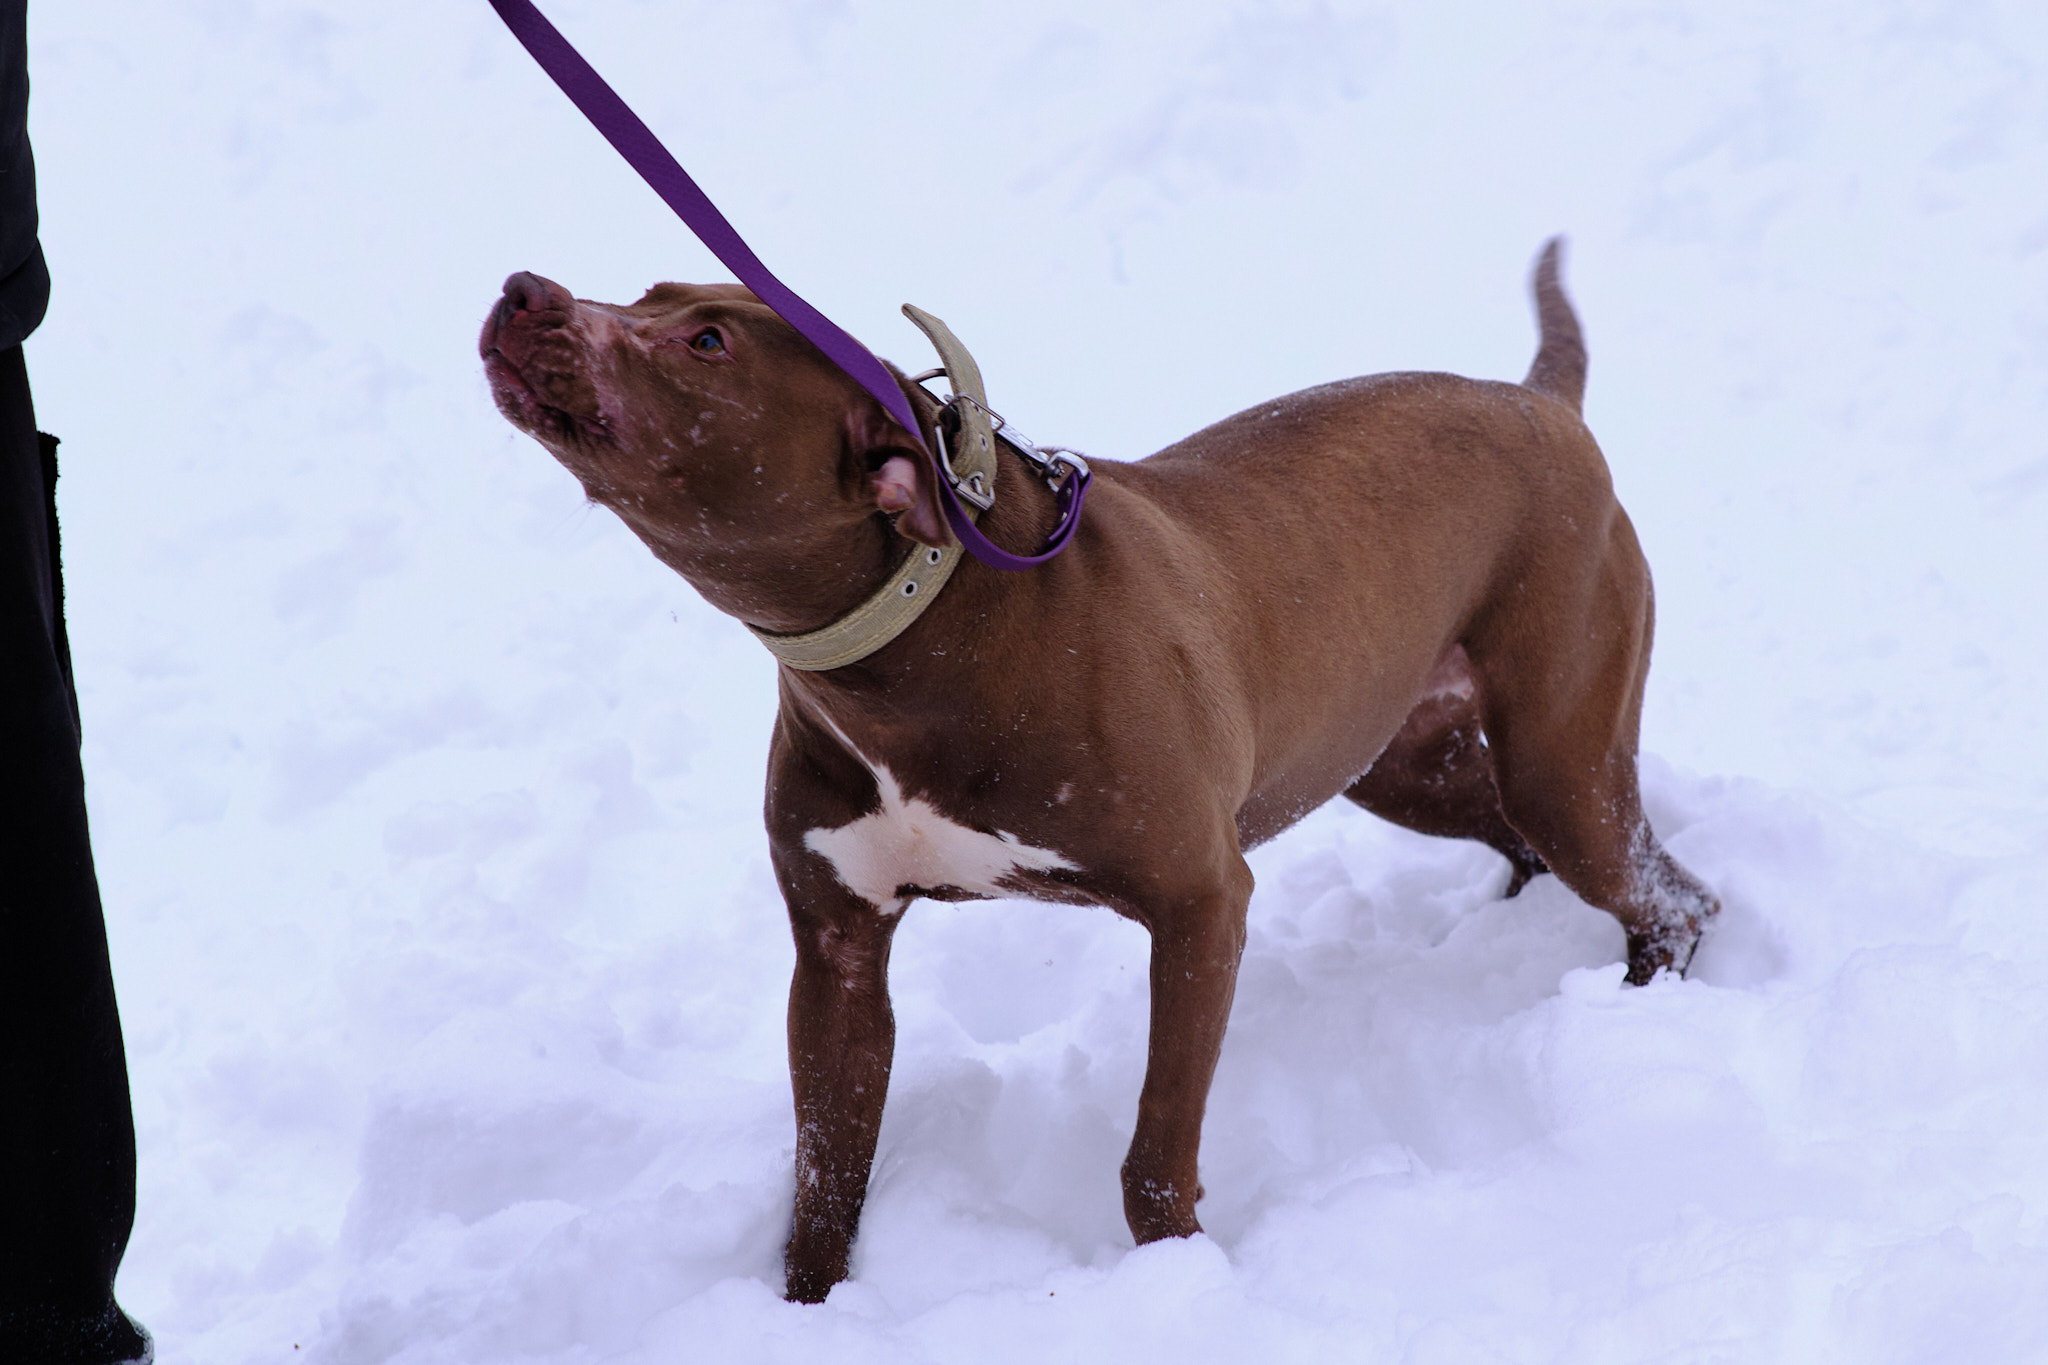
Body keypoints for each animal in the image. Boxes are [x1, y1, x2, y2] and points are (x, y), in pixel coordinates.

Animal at [479, 240, 1717, 1302]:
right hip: (1392, 759)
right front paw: (806, 1309)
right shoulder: (836, 956)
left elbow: (1155, 1145)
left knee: (1667, 893)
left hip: (1557, 756)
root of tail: (1536, 401)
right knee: (1534, 845)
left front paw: (1174, 1279)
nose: (523, 289)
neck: (920, 633)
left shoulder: (1200, 902)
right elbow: (825, 1176)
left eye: (706, 344)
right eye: (647, 290)